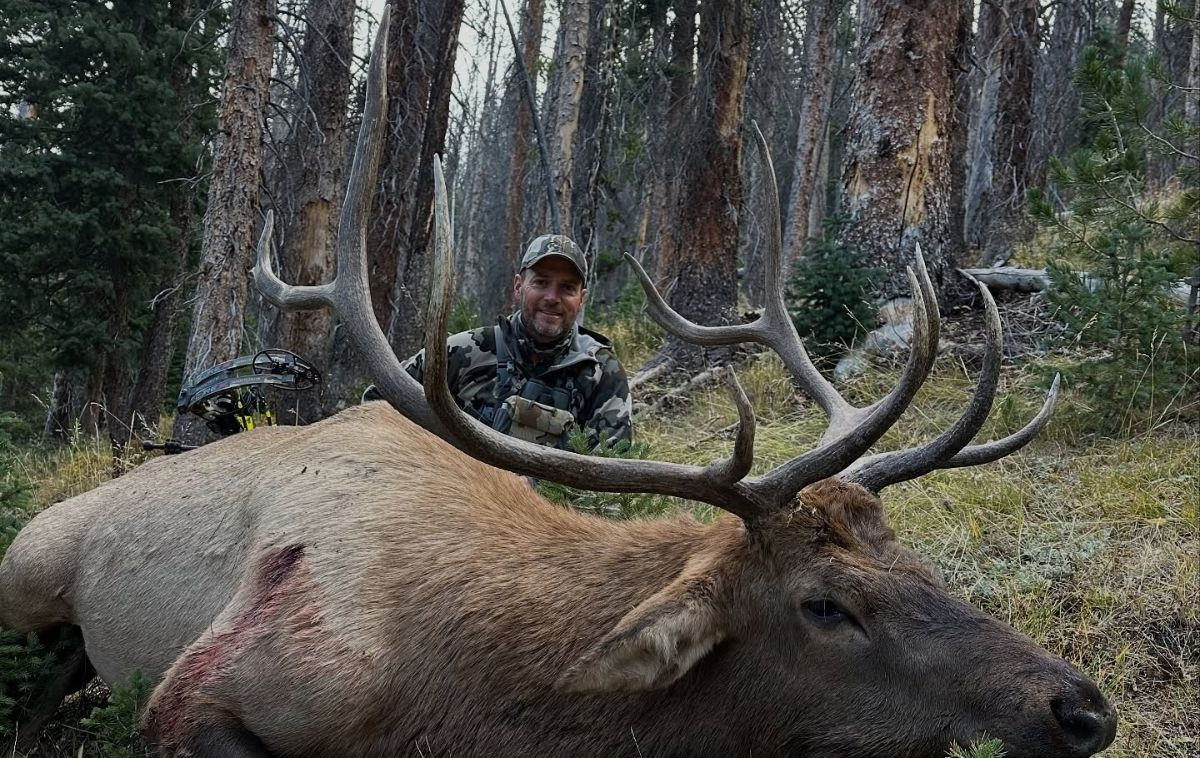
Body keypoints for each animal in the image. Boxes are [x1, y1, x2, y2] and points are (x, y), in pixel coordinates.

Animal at [0, 10, 1117, 758]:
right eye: (826, 605)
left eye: (922, 565)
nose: (1082, 707)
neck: (465, 703)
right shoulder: (202, 687)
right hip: (29, 563)